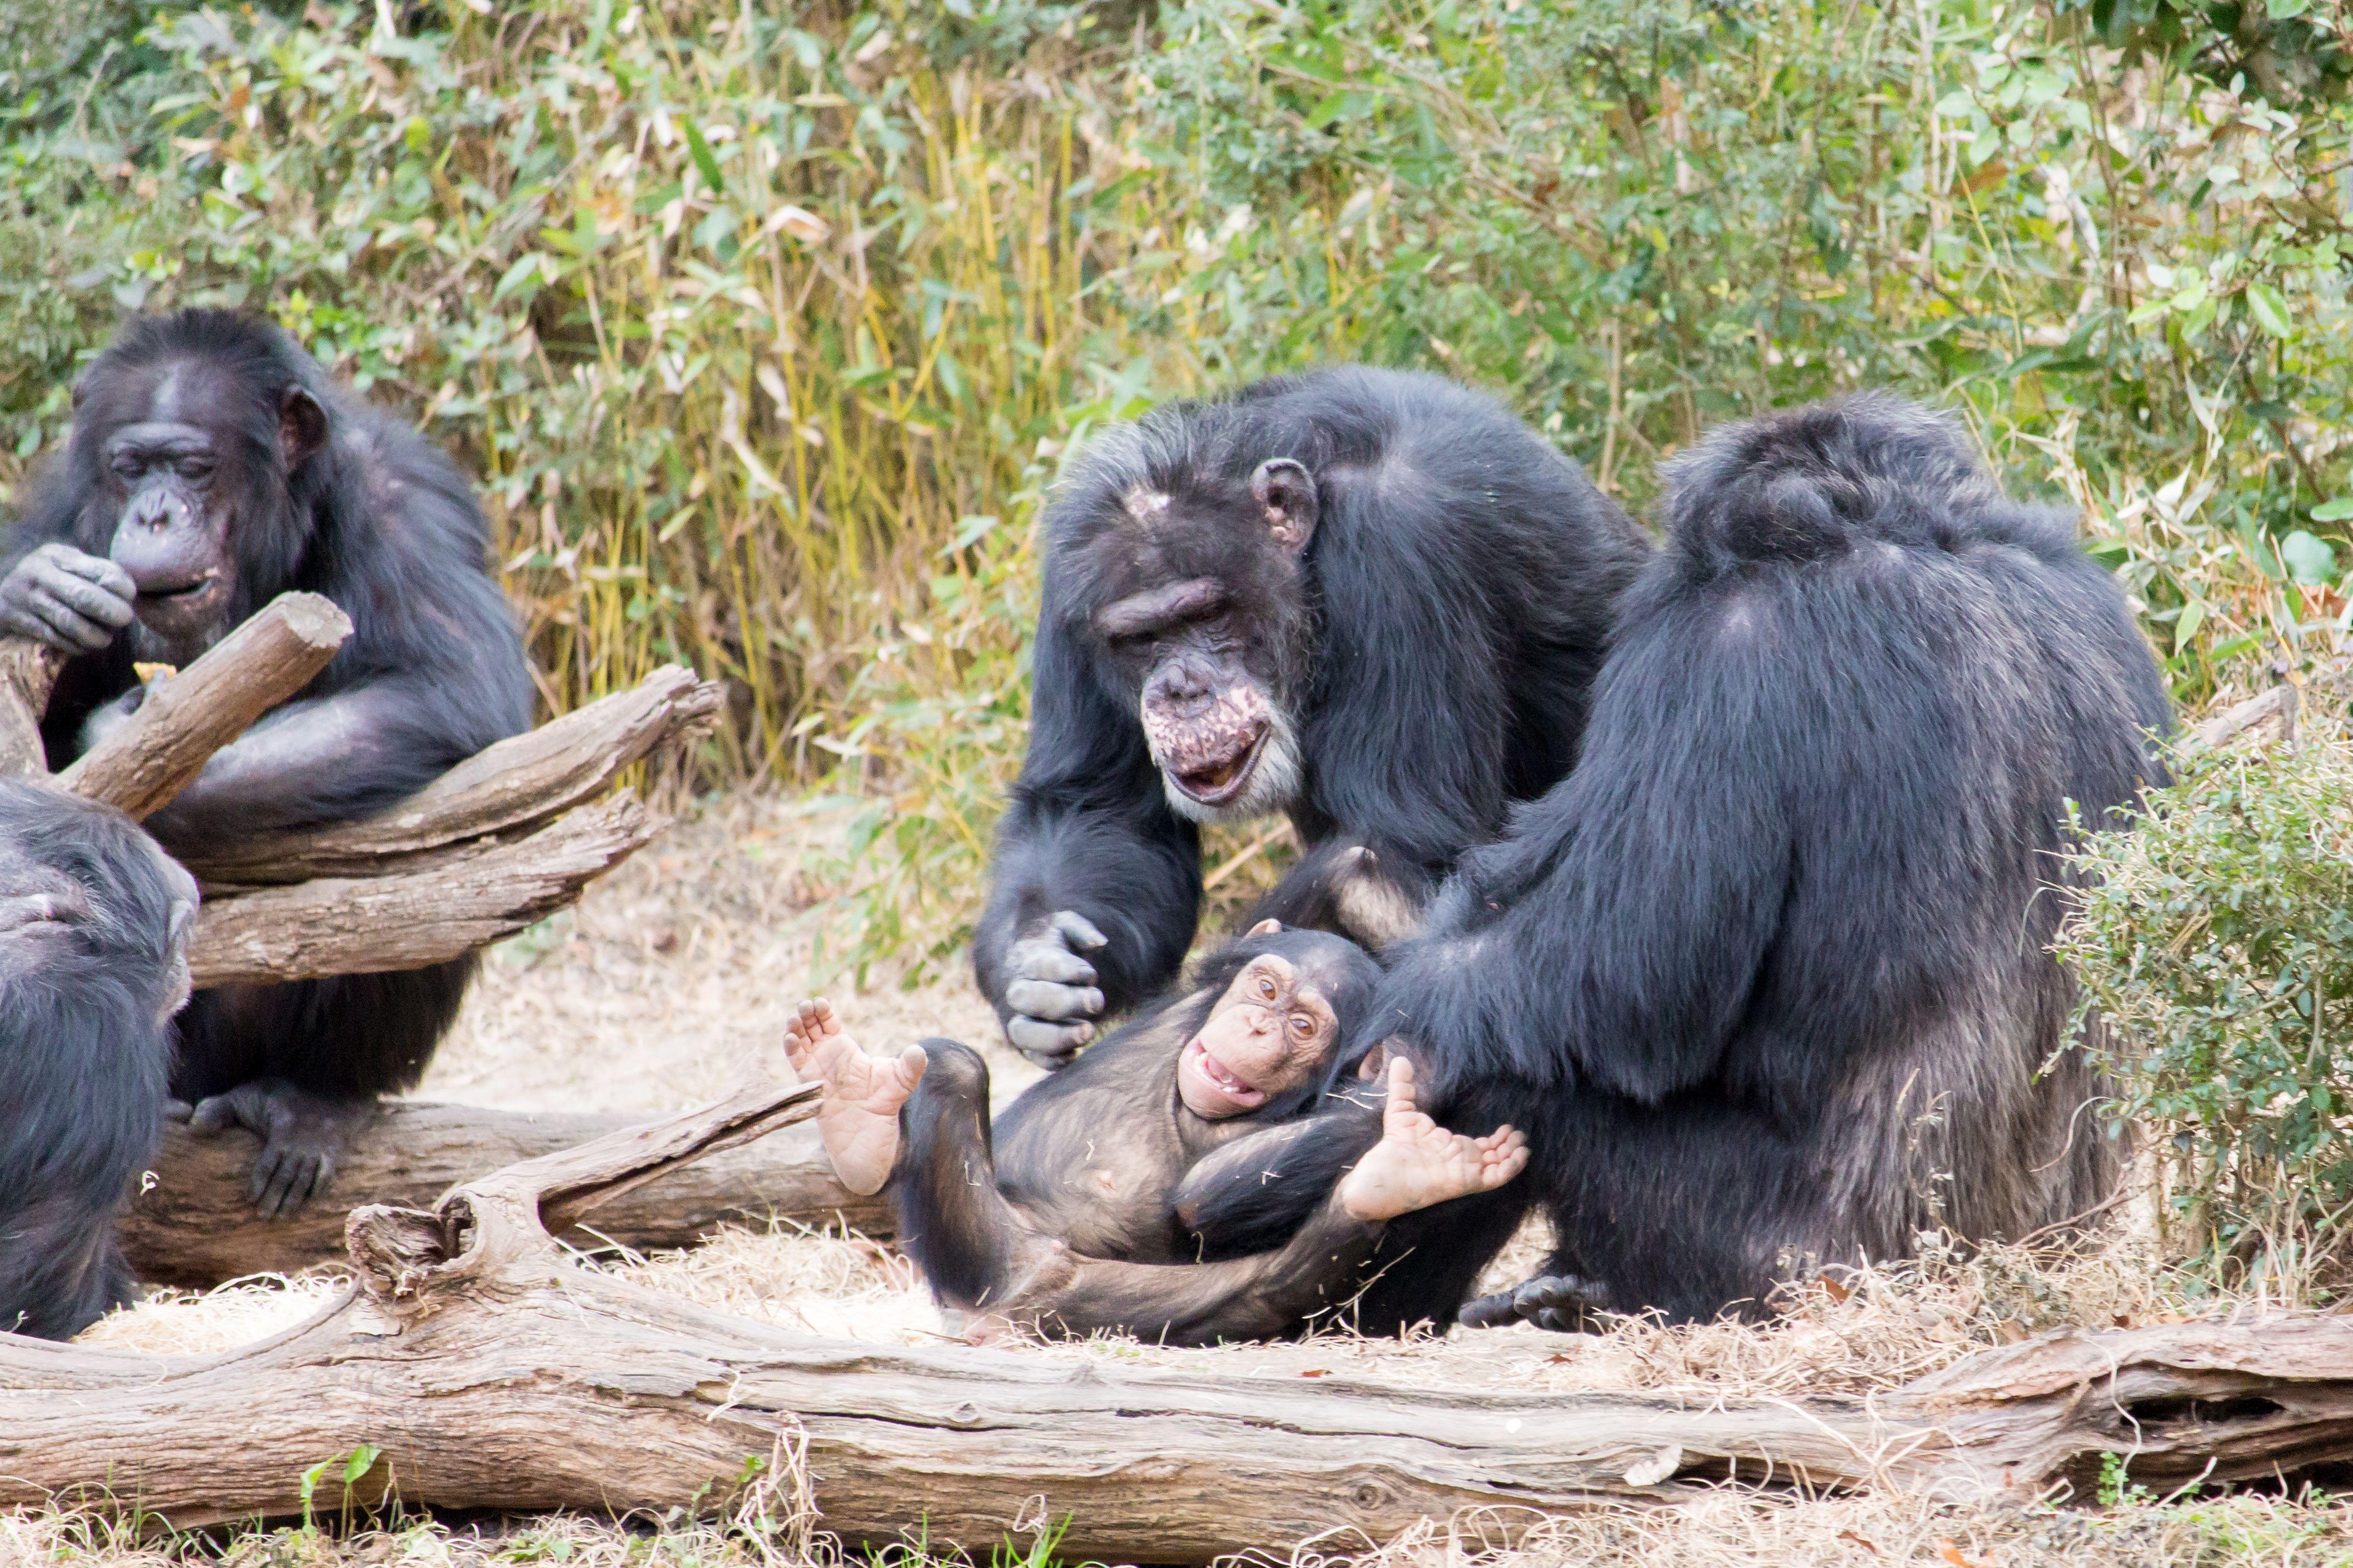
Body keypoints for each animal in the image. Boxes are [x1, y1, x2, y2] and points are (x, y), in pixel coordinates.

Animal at [0, 303, 534, 1213]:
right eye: (131, 468)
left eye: (194, 468)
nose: (154, 515)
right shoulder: (68, 505)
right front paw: (31, 584)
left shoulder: (405, 505)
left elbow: (448, 682)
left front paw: (128, 743)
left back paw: (311, 1101)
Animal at [781, 926, 1534, 1345]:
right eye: (1265, 990)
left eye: (1302, 1027)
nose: (1258, 1028)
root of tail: (1001, 1306)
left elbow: (1204, 1195)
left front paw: (1419, 1079)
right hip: (979, 1257)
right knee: (954, 1067)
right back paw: (856, 1111)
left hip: (1073, 1303)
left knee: (1267, 1289)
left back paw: (1395, 1176)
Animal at [965, 369, 1647, 1067]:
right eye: (1141, 639)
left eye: (1207, 615)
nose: (1181, 689)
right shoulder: (1067, 586)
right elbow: (1093, 808)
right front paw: (1038, 965)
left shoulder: (1398, 544)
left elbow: (1397, 844)